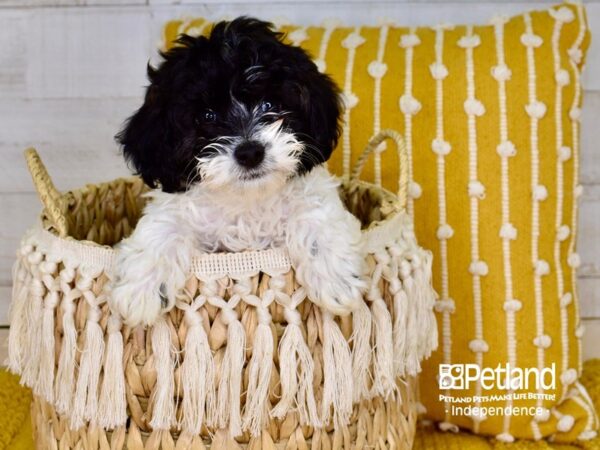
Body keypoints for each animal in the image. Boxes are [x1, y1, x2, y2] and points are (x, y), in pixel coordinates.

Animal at [112, 18, 366, 326]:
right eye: (207, 116)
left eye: (269, 105)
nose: (250, 152)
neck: (246, 200)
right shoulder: (177, 206)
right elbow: (163, 227)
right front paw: (142, 289)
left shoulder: (312, 195)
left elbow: (316, 216)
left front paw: (336, 279)